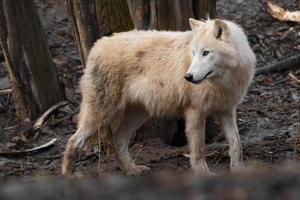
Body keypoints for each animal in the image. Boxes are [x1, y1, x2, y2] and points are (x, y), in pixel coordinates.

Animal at [62, 18, 256, 176]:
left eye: (206, 53)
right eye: (194, 53)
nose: (188, 77)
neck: (222, 81)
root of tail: (97, 46)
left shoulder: (226, 110)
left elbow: (236, 144)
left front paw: (239, 171)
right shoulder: (195, 112)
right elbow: (199, 150)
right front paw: (204, 174)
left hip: (138, 114)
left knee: (117, 140)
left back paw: (132, 170)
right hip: (101, 114)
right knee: (73, 141)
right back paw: (70, 176)